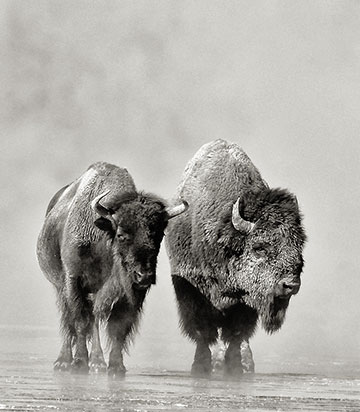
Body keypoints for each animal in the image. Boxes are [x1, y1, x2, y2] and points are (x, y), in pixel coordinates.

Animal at [37, 161, 187, 376]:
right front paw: (81, 362)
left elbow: (118, 327)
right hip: (61, 286)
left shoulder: (129, 293)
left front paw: (116, 366)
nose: (144, 275)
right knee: (69, 320)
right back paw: (64, 361)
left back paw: (96, 361)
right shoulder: (74, 282)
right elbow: (80, 321)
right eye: (121, 234)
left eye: (159, 234)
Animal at [165, 139, 306, 376]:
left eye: (298, 245)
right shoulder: (191, 291)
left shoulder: (245, 302)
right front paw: (200, 366)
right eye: (260, 248)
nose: (291, 285)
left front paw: (235, 368)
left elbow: (237, 334)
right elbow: (203, 332)